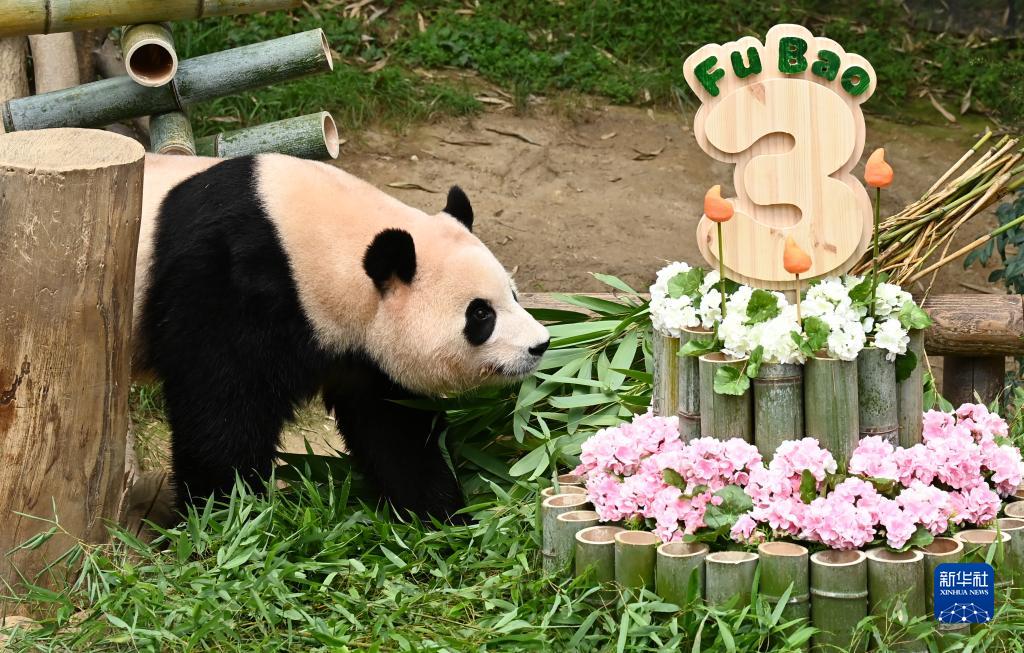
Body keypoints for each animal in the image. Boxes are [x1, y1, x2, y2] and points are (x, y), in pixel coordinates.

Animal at [135, 153, 551, 522]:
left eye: (513, 294)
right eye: (480, 314)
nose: (540, 345)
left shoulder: (363, 352)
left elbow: (392, 426)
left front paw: (440, 516)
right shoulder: (230, 286)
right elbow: (222, 410)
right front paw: (224, 515)